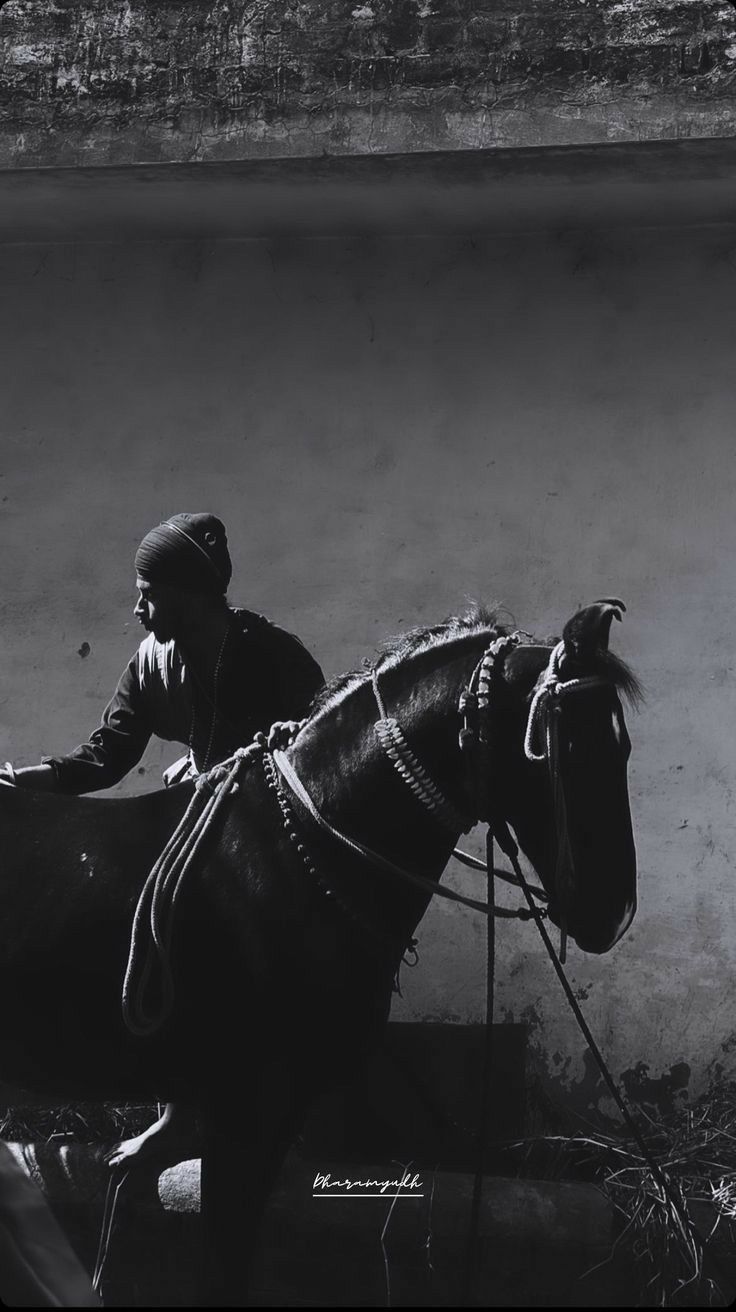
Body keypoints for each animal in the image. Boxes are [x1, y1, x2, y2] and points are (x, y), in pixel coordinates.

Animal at [0, 600, 637, 1301]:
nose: (613, 912)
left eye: (624, 745)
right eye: (567, 746)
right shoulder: (246, 1115)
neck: (294, 856)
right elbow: (222, 1267)